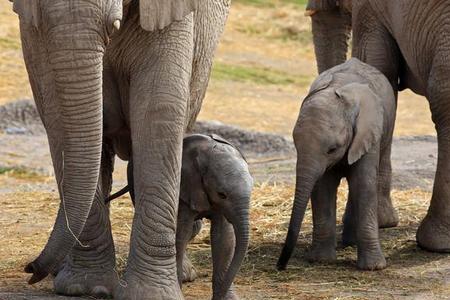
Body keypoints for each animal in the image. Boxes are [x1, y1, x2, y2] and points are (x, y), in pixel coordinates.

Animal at [12, 0, 230, 298]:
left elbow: (157, 113)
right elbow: (57, 112)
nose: (31, 269)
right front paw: (86, 288)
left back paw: (183, 274)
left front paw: (151, 294)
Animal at [276, 58, 396, 272]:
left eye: (333, 149)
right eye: (296, 145)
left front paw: (373, 268)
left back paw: (351, 243)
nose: (280, 266)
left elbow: (364, 184)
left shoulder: (368, 133)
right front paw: (321, 260)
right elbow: (322, 187)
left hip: (387, 131)